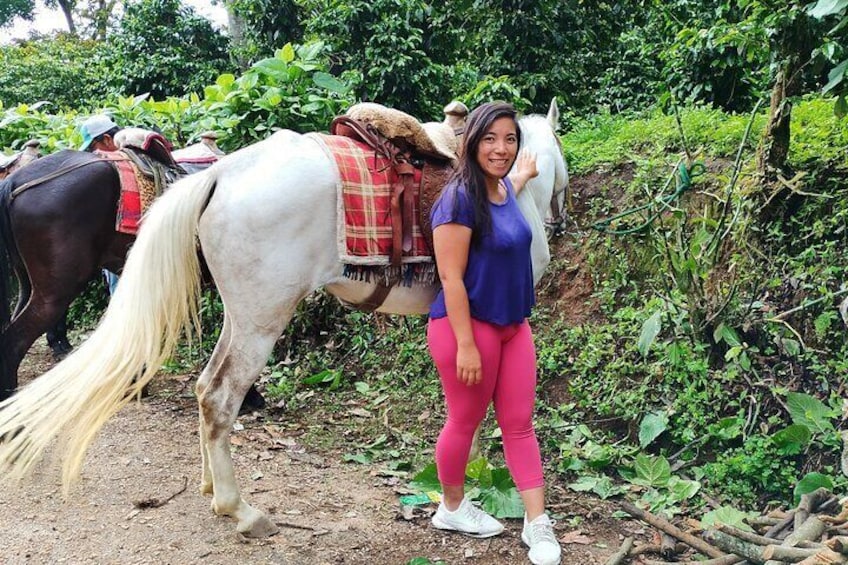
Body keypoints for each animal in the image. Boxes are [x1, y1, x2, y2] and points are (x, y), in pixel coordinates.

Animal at [0, 99, 568, 536]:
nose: (559, 220)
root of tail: (219, 175)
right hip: (257, 318)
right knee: (218, 396)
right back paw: (241, 510)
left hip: (241, 314)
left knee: (205, 386)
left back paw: (211, 486)